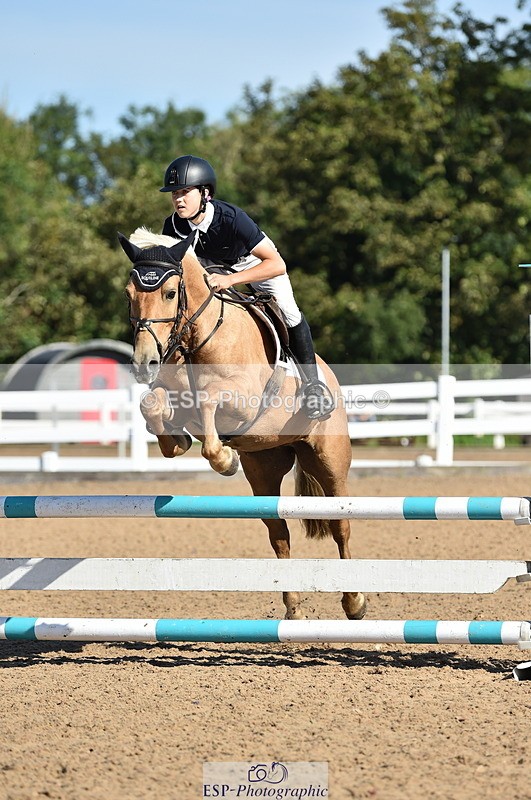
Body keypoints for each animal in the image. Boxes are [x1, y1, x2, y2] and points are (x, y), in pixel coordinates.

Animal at [120, 227, 366, 621]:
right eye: (129, 295)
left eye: (170, 293)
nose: (145, 363)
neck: (197, 337)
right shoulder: (170, 393)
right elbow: (152, 403)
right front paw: (176, 443)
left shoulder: (240, 398)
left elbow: (208, 400)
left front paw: (223, 460)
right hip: (264, 469)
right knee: (279, 534)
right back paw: (293, 609)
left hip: (329, 462)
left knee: (339, 525)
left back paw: (354, 602)